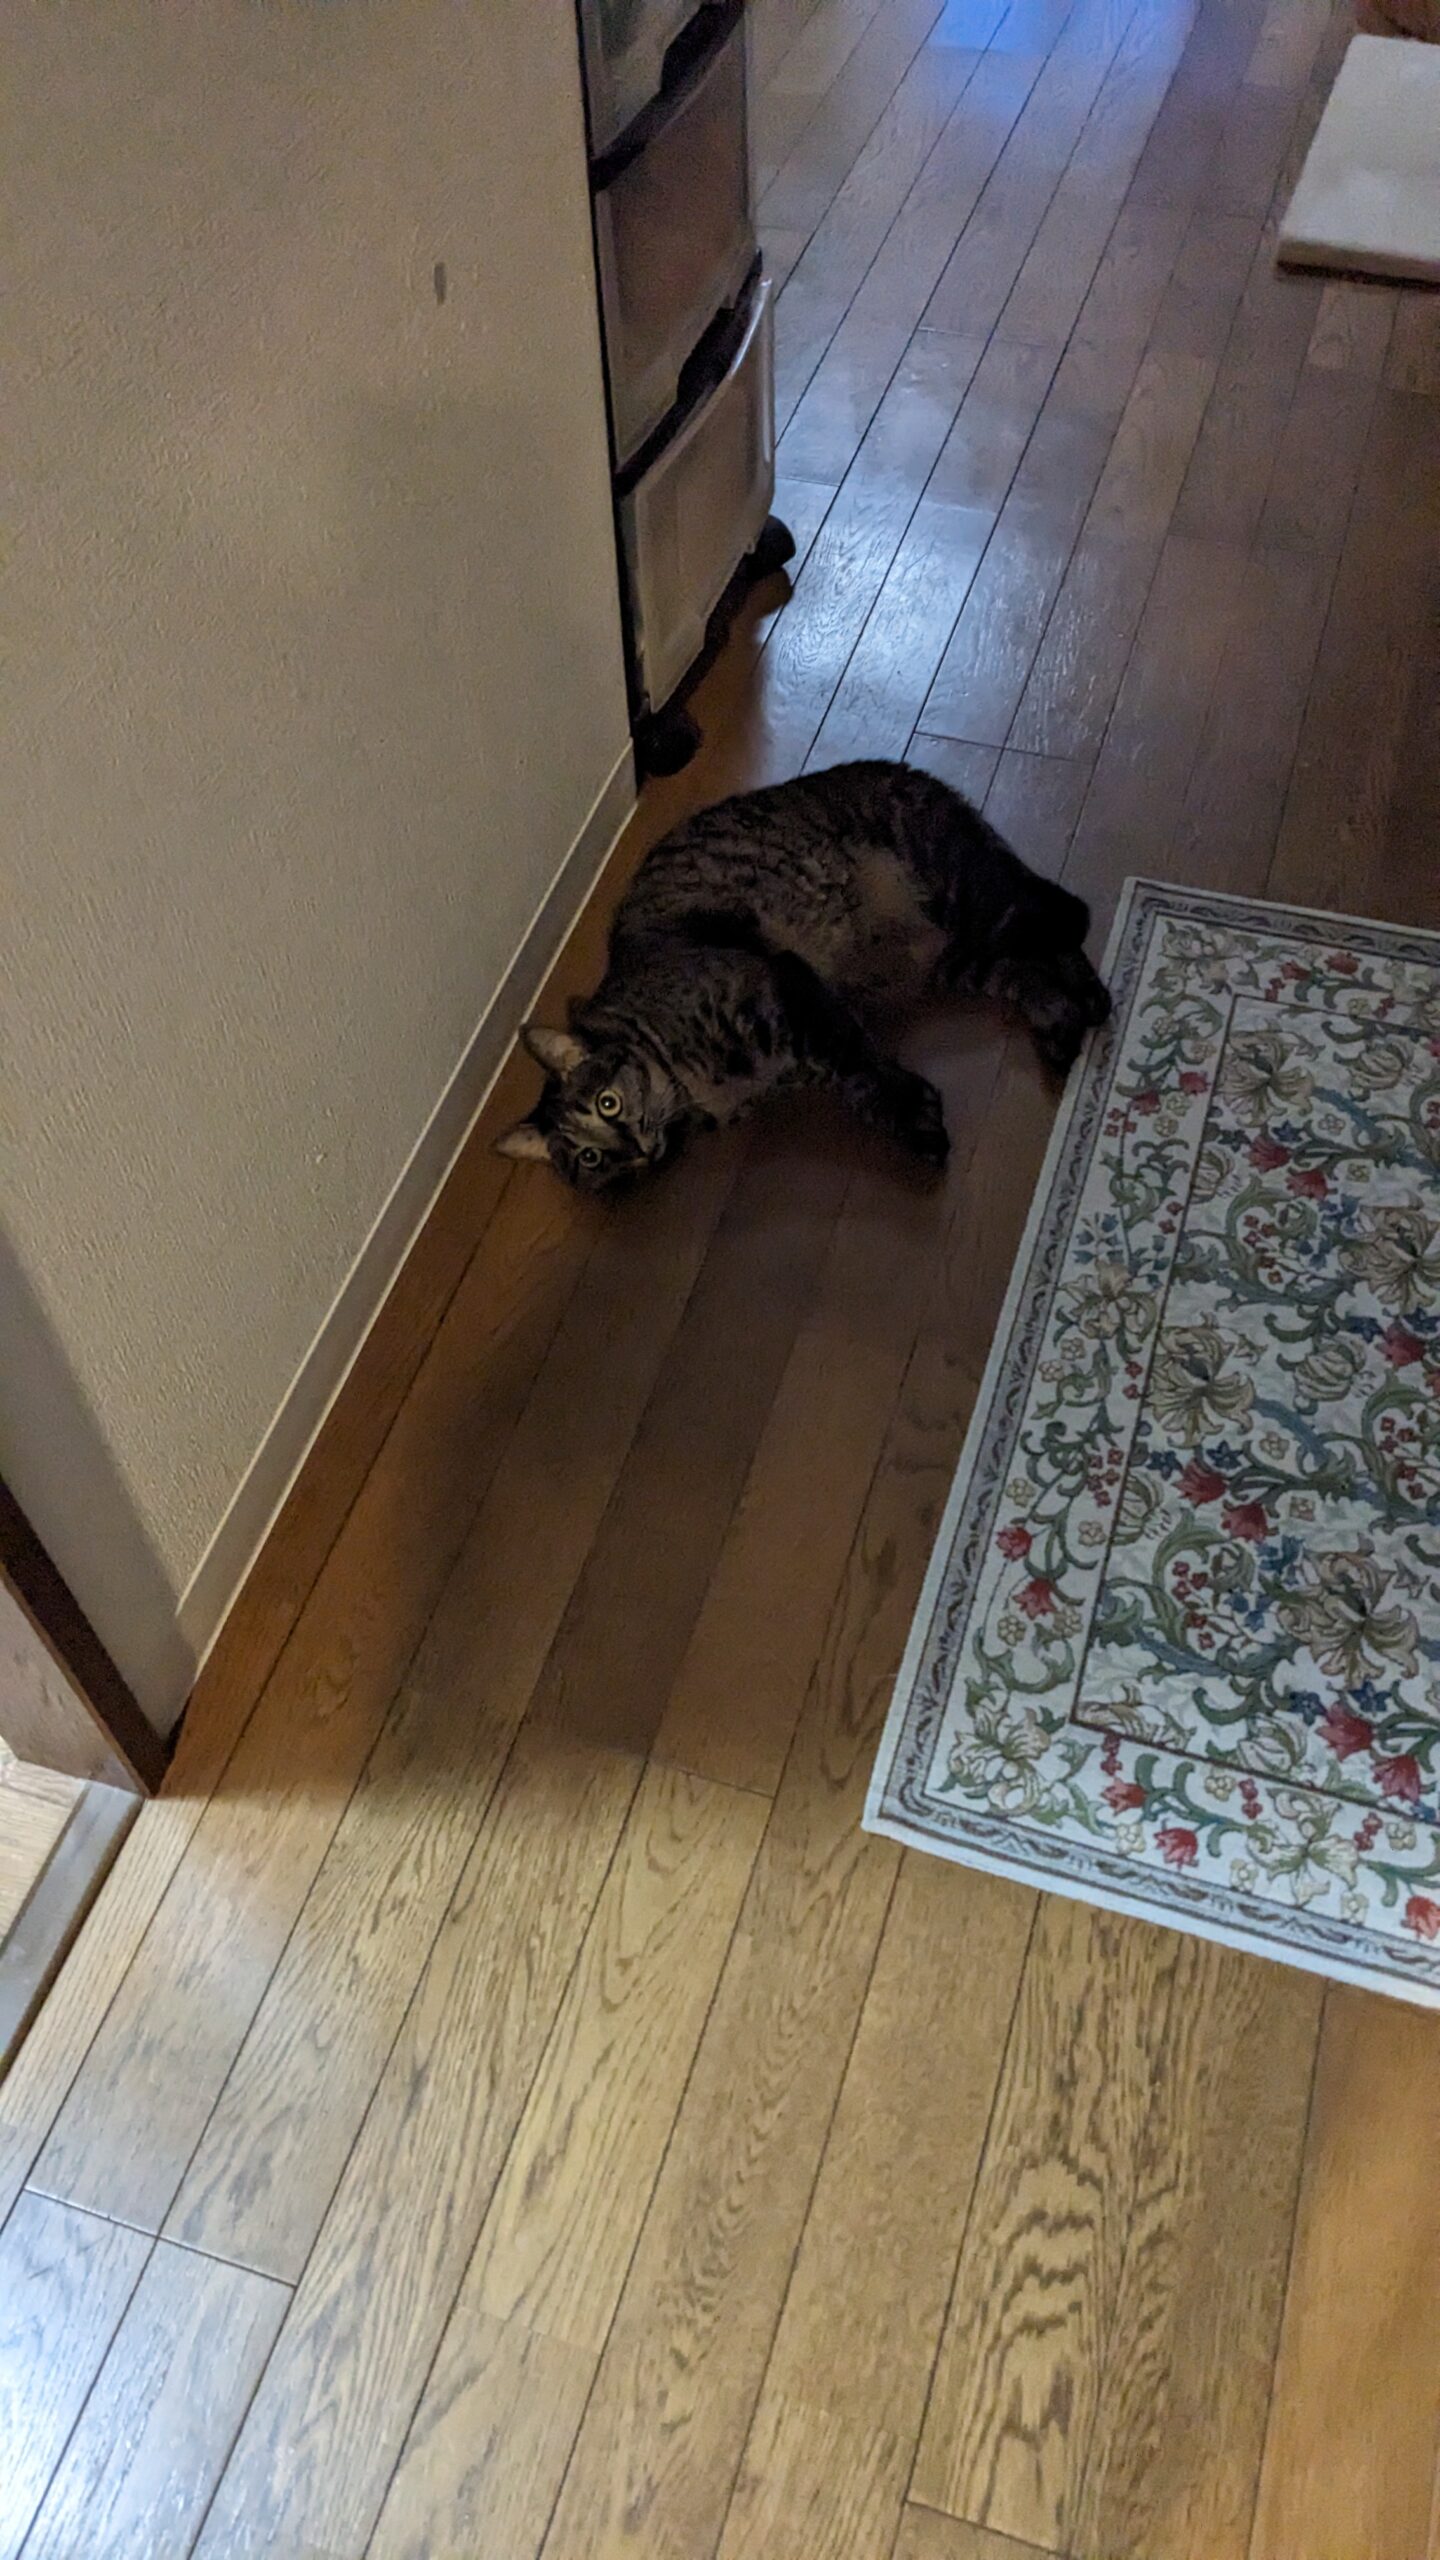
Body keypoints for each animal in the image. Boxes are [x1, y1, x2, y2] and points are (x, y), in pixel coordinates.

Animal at [497, 758, 1111, 1192]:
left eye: (608, 1104)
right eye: (591, 1158)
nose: (636, 1149)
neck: (697, 1094)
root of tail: (906, 771)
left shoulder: (785, 987)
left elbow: (857, 1065)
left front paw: (912, 1114)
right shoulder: (796, 1043)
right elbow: (852, 1080)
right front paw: (912, 1120)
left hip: (959, 883)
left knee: (1060, 911)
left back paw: (1089, 1000)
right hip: (957, 954)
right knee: (1030, 965)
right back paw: (1065, 1023)